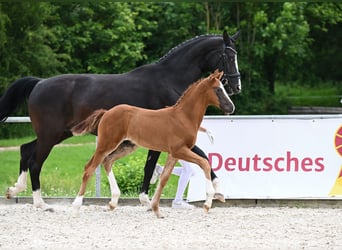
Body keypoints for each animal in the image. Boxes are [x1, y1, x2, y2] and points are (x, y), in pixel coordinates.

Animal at [0, 31, 240, 211]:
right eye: (229, 56)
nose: (237, 87)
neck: (169, 79)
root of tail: (39, 83)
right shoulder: (167, 135)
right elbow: (191, 156)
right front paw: (218, 190)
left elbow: (166, 162)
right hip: (51, 135)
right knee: (35, 161)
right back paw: (40, 202)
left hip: (55, 134)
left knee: (25, 149)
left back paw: (15, 190)